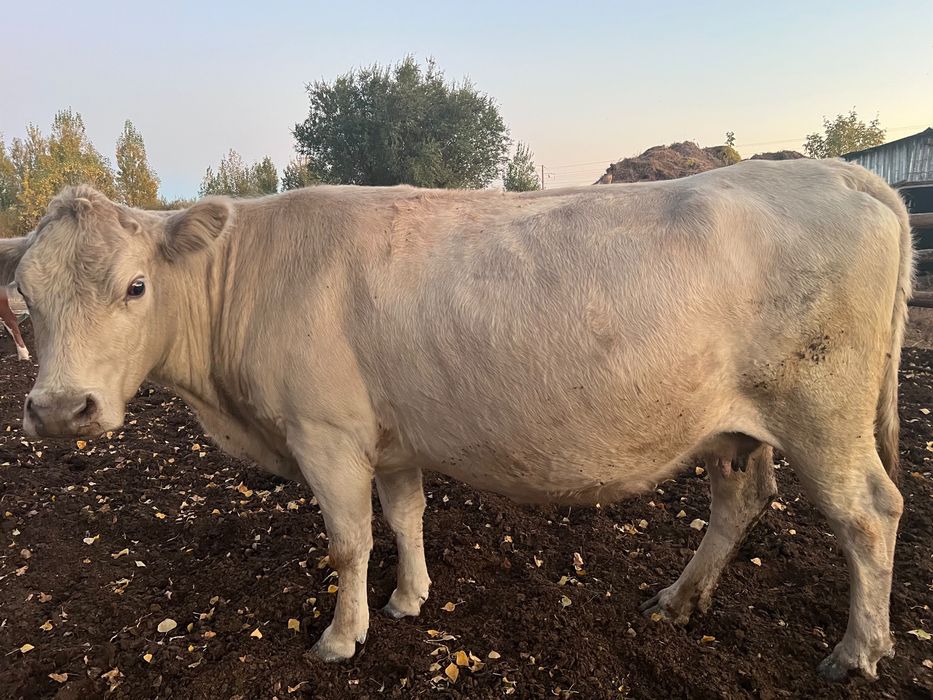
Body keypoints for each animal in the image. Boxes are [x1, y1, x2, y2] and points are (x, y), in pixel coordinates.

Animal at [0, 158, 912, 680]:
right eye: (25, 297)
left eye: (134, 286)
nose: (59, 409)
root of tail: (837, 171)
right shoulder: (389, 436)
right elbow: (405, 516)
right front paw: (410, 599)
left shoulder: (325, 436)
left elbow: (348, 541)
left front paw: (342, 637)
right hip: (736, 425)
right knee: (740, 498)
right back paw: (678, 600)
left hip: (822, 411)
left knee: (869, 514)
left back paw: (856, 652)